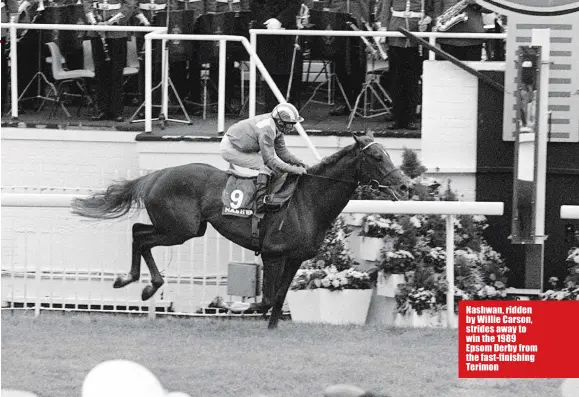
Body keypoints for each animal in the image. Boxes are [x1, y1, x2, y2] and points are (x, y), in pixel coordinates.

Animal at [71, 131, 408, 326]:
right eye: (377, 156)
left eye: (388, 153)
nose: (404, 185)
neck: (307, 201)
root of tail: (157, 174)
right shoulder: (273, 254)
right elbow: (267, 299)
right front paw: (224, 303)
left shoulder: (295, 258)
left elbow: (280, 298)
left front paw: (272, 329)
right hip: (180, 229)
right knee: (140, 236)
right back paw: (138, 282)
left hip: (185, 228)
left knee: (139, 232)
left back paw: (139, 282)